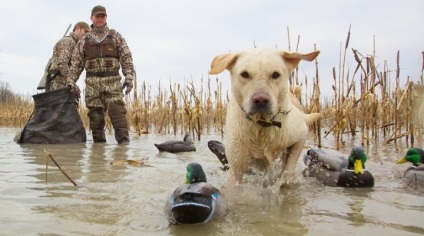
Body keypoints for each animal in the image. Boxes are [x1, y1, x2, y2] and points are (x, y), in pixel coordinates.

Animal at [209, 48, 322, 187]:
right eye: (244, 74)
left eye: (275, 74)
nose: (261, 100)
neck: (262, 124)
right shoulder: (236, 168)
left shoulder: (301, 134)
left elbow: (290, 165)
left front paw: (284, 180)